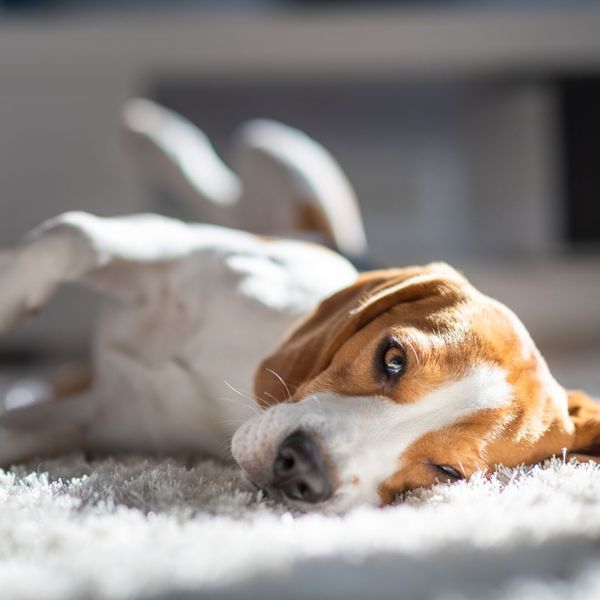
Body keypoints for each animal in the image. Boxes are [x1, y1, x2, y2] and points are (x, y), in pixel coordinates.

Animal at [1, 101, 600, 512]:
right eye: (393, 357)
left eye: (448, 471)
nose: (302, 472)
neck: (234, 383)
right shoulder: (179, 246)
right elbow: (74, 235)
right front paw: (10, 297)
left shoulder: (97, 420)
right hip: (279, 151)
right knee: (227, 180)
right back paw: (157, 136)